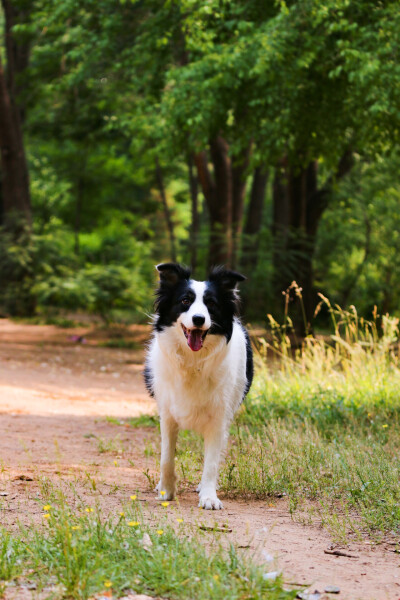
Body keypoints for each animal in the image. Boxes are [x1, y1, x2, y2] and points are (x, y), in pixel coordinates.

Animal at [145, 262, 253, 510]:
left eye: (211, 303)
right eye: (185, 300)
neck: (193, 362)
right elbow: (166, 457)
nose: (198, 319)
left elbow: (211, 462)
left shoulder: (218, 417)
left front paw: (209, 496)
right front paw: (166, 491)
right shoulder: (167, 413)